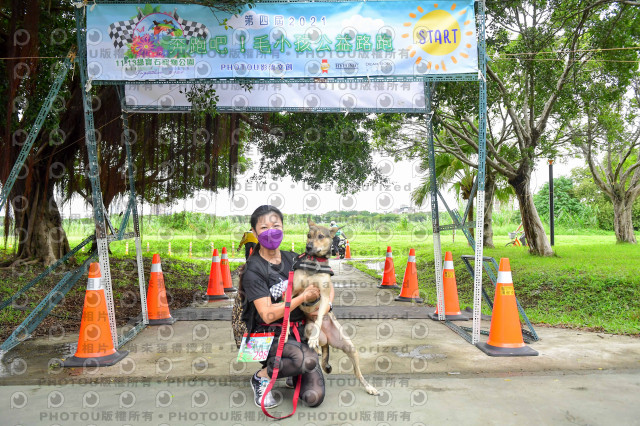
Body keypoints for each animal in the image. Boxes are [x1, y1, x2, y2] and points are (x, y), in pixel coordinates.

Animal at [286, 220, 380, 396]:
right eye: (308, 235)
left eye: (320, 236)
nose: (308, 246)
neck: (314, 262)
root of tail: (328, 339)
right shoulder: (292, 292)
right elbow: (286, 311)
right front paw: (286, 327)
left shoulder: (324, 296)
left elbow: (319, 318)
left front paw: (313, 337)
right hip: (309, 329)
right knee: (317, 343)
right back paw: (316, 348)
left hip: (350, 347)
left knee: (357, 372)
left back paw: (369, 387)